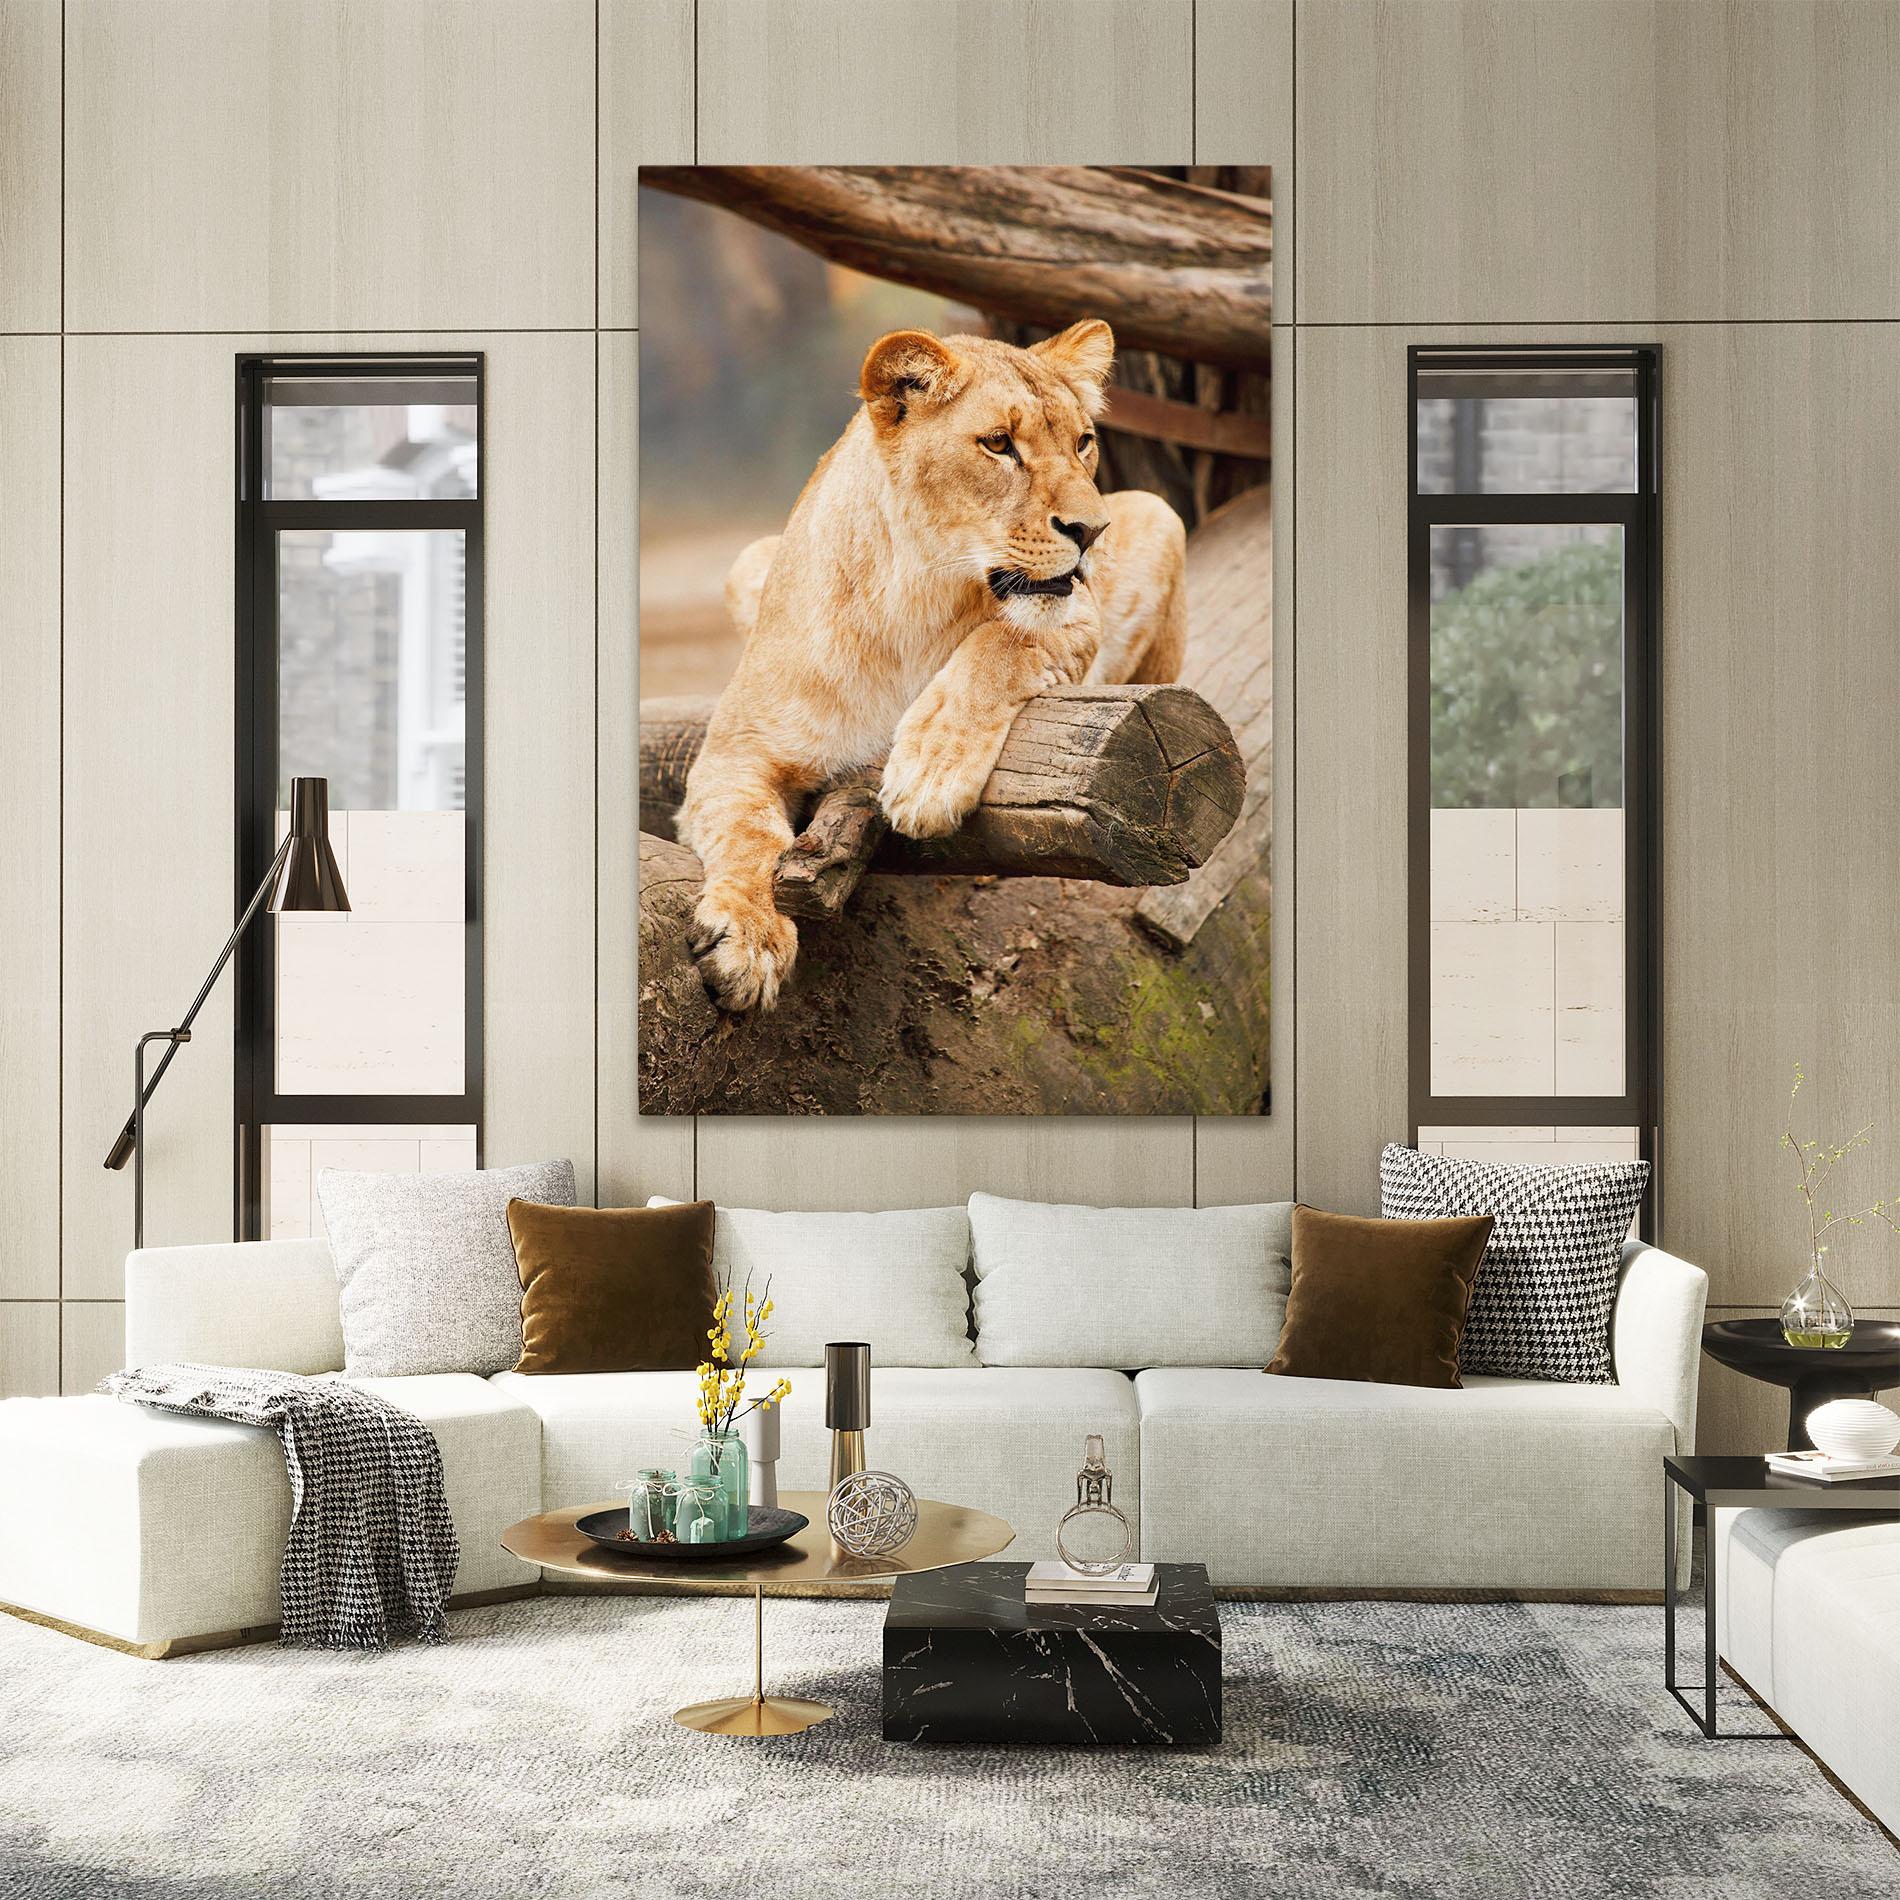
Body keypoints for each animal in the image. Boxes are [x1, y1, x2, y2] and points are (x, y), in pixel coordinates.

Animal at [674, 318, 1188, 1013]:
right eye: (999, 444)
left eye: (1083, 443)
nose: (1093, 531)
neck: (914, 599)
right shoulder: (735, 753)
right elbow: (747, 833)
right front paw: (749, 939)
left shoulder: (1077, 616)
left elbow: (1001, 643)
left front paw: (928, 775)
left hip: (1160, 515)